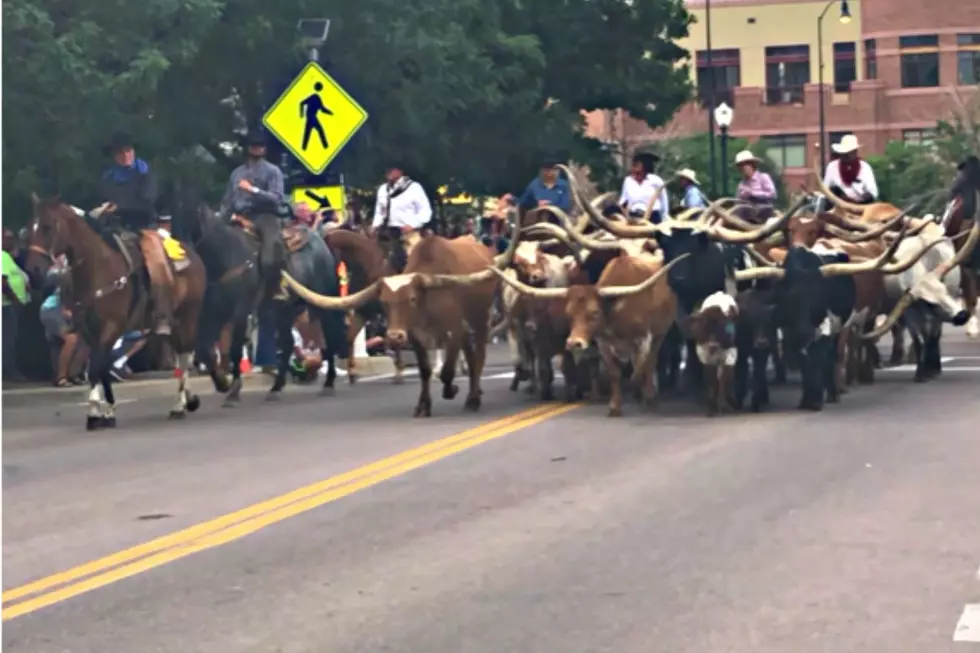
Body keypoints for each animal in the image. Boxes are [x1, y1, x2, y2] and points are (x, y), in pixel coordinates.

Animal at [25, 194, 208, 428]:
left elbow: (97, 367)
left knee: (185, 356)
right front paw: (106, 412)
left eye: (47, 227)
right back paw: (186, 401)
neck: (99, 268)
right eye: (30, 228)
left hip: (187, 316)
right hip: (170, 323)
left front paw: (95, 413)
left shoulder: (111, 327)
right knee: (181, 355)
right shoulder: (88, 332)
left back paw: (180, 405)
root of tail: (192, 254)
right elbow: (100, 367)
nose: (33, 271)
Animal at [282, 229, 520, 412]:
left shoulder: (453, 330)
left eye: (412, 298)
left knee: (477, 355)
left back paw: (473, 397)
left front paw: (447, 388)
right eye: (386, 301)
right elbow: (421, 368)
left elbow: (446, 370)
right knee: (470, 356)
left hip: (479, 319)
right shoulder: (387, 321)